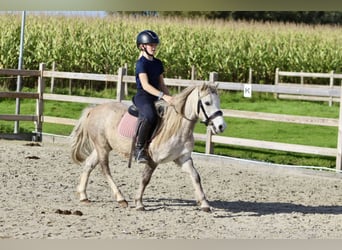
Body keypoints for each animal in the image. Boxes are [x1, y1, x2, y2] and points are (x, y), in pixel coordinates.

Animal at [70, 83, 227, 211]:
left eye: (219, 102)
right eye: (207, 102)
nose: (221, 126)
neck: (176, 127)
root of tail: (93, 109)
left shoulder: (183, 158)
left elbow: (196, 177)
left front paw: (205, 204)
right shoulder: (152, 159)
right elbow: (145, 179)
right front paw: (139, 203)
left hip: (103, 147)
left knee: (89, 165)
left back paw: (83, 196)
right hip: (102, 147)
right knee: (105, 169)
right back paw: (121, 198)